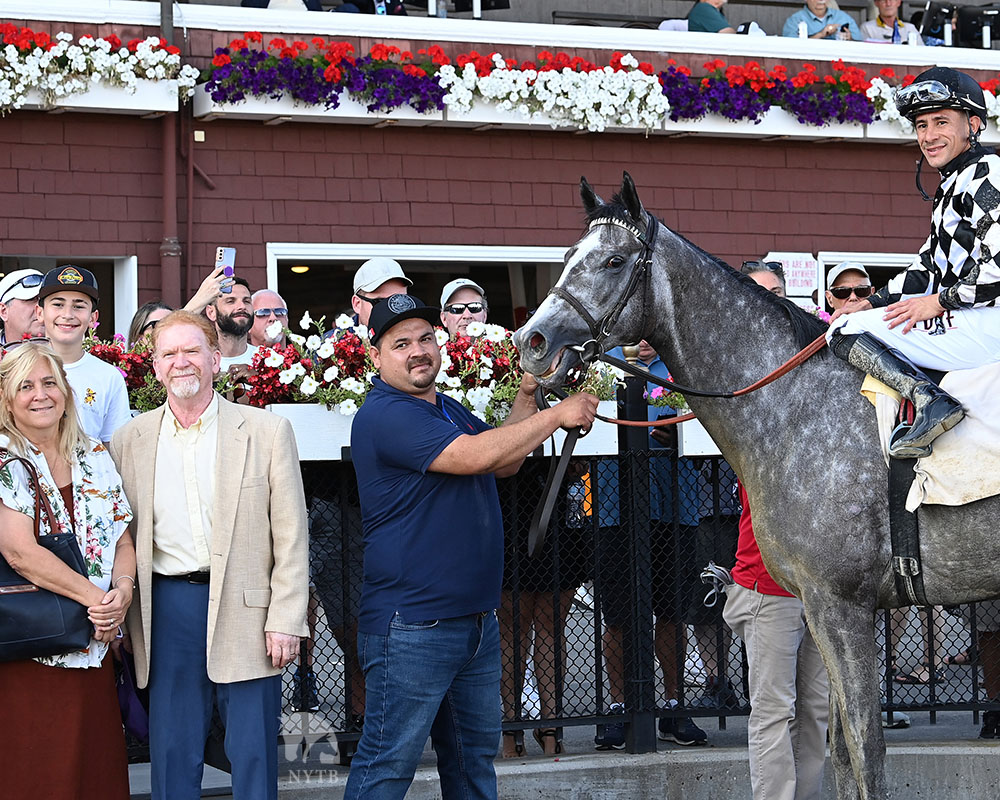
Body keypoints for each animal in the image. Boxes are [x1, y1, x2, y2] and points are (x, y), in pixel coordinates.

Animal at [513, 172, 1000, 800]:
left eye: (615, 260)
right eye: (570, 256)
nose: (531, 341)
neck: (797, 404)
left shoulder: (842, 605)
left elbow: (865, 751)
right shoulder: (818, 608)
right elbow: (842, 753)